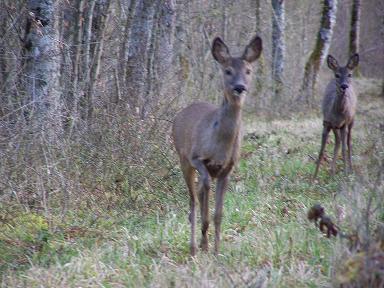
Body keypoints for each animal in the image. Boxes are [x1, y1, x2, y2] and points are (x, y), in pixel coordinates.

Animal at [172, 35, 262, 255]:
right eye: (227, 70)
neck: (220, 144)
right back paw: (194, 246)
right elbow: (204, 189)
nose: (240, 87)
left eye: (248, 70)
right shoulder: (196, 157)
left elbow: (218, 214)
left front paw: (216, 250)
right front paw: (204, 242)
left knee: (198, 195)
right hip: (182, 158)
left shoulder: (228, 168)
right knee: (193, 200)